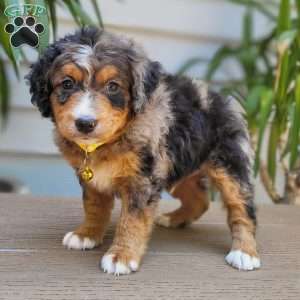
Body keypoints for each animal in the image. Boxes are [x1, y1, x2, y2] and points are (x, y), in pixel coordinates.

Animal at [26, 27, 260, 276]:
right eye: (67, 84)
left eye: (113, 86)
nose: (85, 123)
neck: (108, 143)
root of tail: (224, 100)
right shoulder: (92, 179)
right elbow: (94, 206)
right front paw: (86, 234)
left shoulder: (142, 181)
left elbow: (132, 220)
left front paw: (121, 256)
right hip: (179, 165)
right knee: (199, 200)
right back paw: (173, 219)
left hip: (229, 164)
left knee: (242, 209)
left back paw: (245, 252)